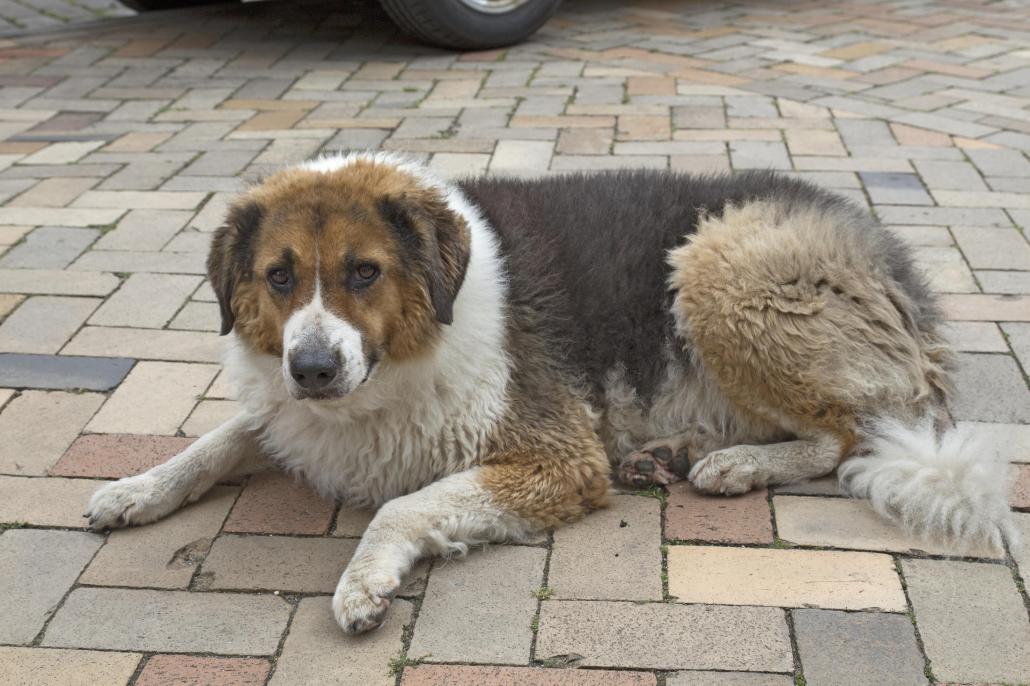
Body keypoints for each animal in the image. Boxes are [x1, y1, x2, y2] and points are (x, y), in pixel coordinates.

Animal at [86, 152, 1013, 634]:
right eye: (279, 278)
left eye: (364, 272)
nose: (313, 369)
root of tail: (893, 261)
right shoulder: (295, 413)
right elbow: (220, 439)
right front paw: (137, 489)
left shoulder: (557, 457)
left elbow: (402, 506)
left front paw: (363, 582)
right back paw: (676, 450)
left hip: (718, 264)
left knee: (848, 434)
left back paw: (737, 463)